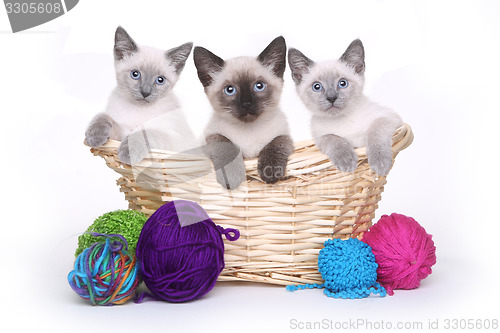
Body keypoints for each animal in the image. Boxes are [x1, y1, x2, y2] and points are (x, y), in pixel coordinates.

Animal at [84, 26, 195, 164]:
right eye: (135, 74)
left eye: (160, 80)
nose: (145, 93)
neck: (138, 109)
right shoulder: (120, 133)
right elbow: (103, 116)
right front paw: (94, 136)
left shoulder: (174, 141)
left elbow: (145, 131)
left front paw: (128, 153)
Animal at [191, 36, 292, 189]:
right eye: (230, 90)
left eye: (259, 86)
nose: (246, 104)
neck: (248, 129)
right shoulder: (211, 136)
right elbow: (226, 145)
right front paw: (231, 177)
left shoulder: (285, 135)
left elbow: (276, 143)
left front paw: (271, 171)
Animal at [290, 39, 402, 176]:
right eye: (317, 87)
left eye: (342, 83)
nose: (331, 98)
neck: (342, 119)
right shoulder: (320, 137)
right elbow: (334, 139)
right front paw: (347, 161)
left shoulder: (388, 117)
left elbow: (375, 131)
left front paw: (380, 163)